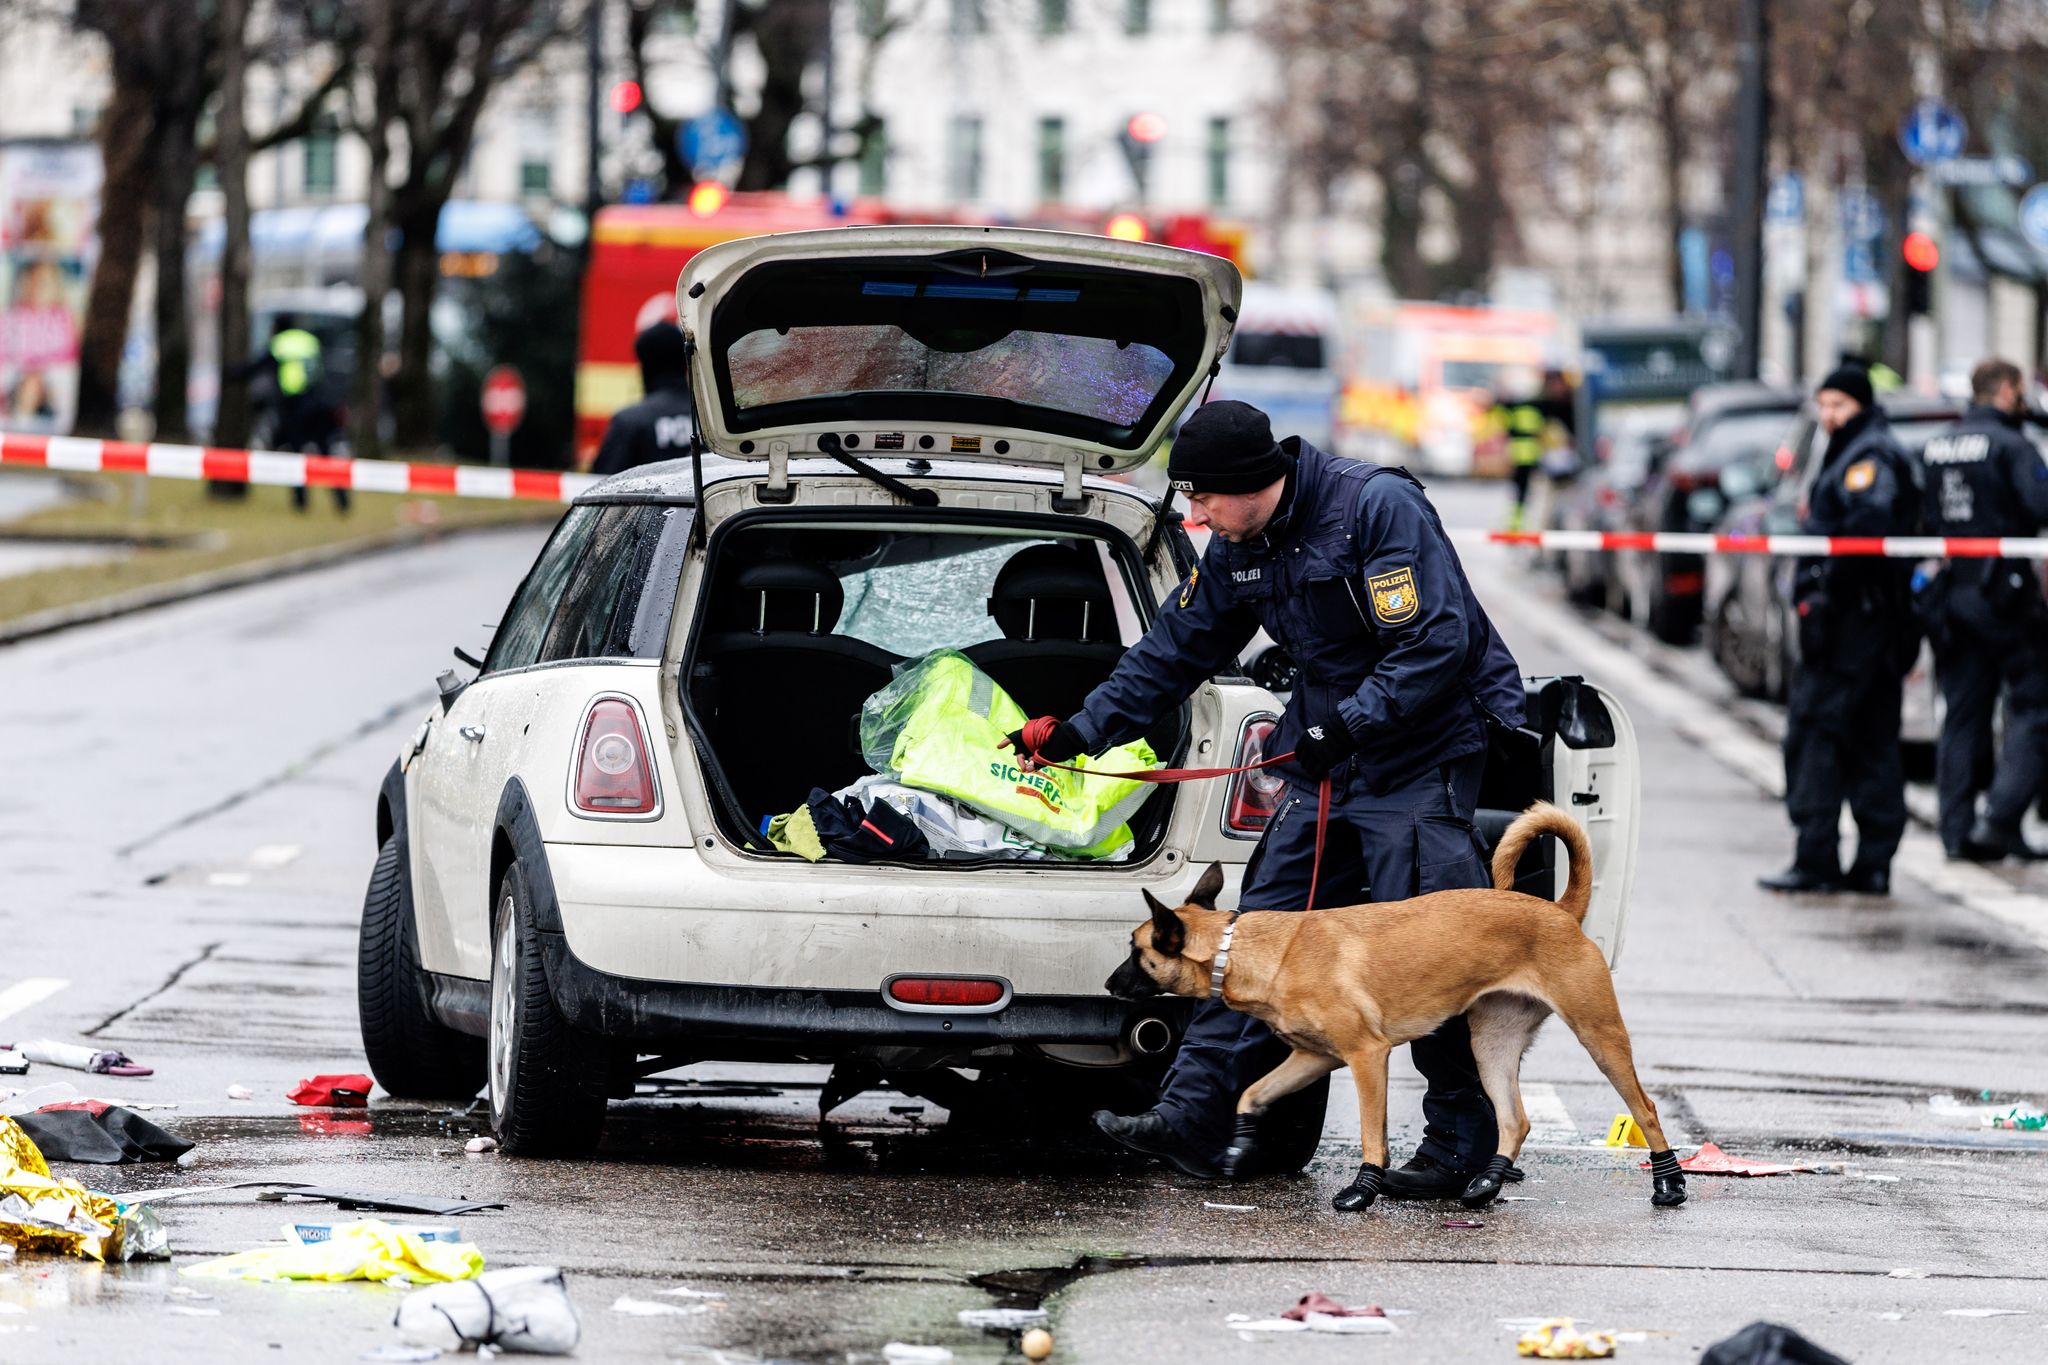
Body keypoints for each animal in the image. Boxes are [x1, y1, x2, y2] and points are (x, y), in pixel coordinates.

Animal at [1114, 806, 1687, 1211]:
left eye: (1136, 952)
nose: (1110, 983)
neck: (1248, 949)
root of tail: (1559, 911)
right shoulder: (1313, 1059)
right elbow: (1251, 1094)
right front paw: (1238, 1146)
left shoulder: (1368, 1057)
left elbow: (1373, 1134)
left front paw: (1363, 1189)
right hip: (1491, 1046)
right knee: (1515, 1120)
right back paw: (1487, 1181)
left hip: (1599, 1035)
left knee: (1646, 1107)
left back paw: (1669, 1184)